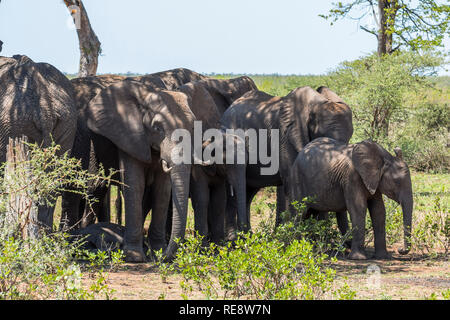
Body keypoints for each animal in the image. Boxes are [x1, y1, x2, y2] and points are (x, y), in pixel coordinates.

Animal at [220, 85, 354, 235]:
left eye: (349, 139)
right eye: (322, 139)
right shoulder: (285, 137)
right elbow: (293, 183)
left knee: (248, 191)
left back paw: (248, 236)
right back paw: (235, 238)